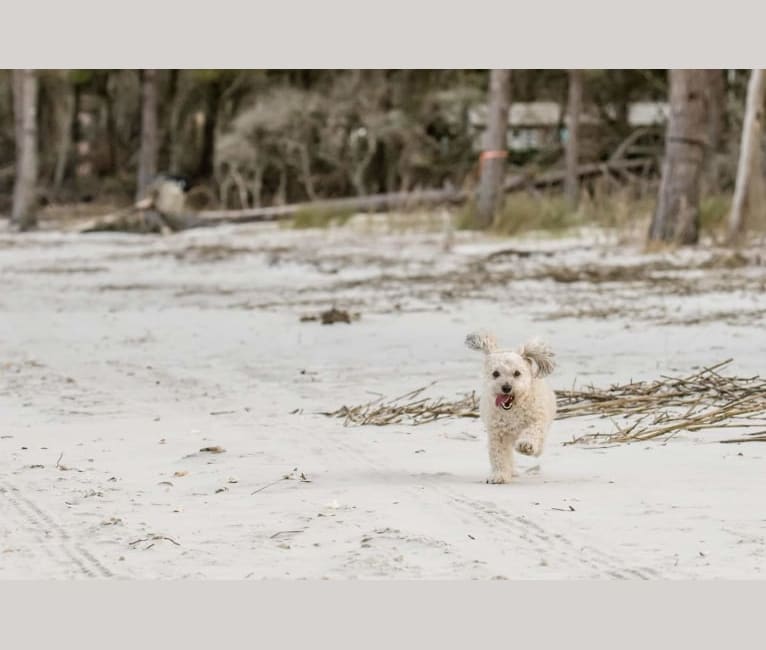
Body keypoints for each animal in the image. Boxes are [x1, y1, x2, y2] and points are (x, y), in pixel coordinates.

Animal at [468, 332, 560, 484]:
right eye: (495, 373)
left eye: (517, 373)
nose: (506, 387)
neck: (513, 409)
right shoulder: (497, 434)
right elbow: (499, 455)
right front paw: (499, 475)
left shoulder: (537, 420)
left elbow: (533, 431)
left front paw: (526, 445)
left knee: (540, 442)